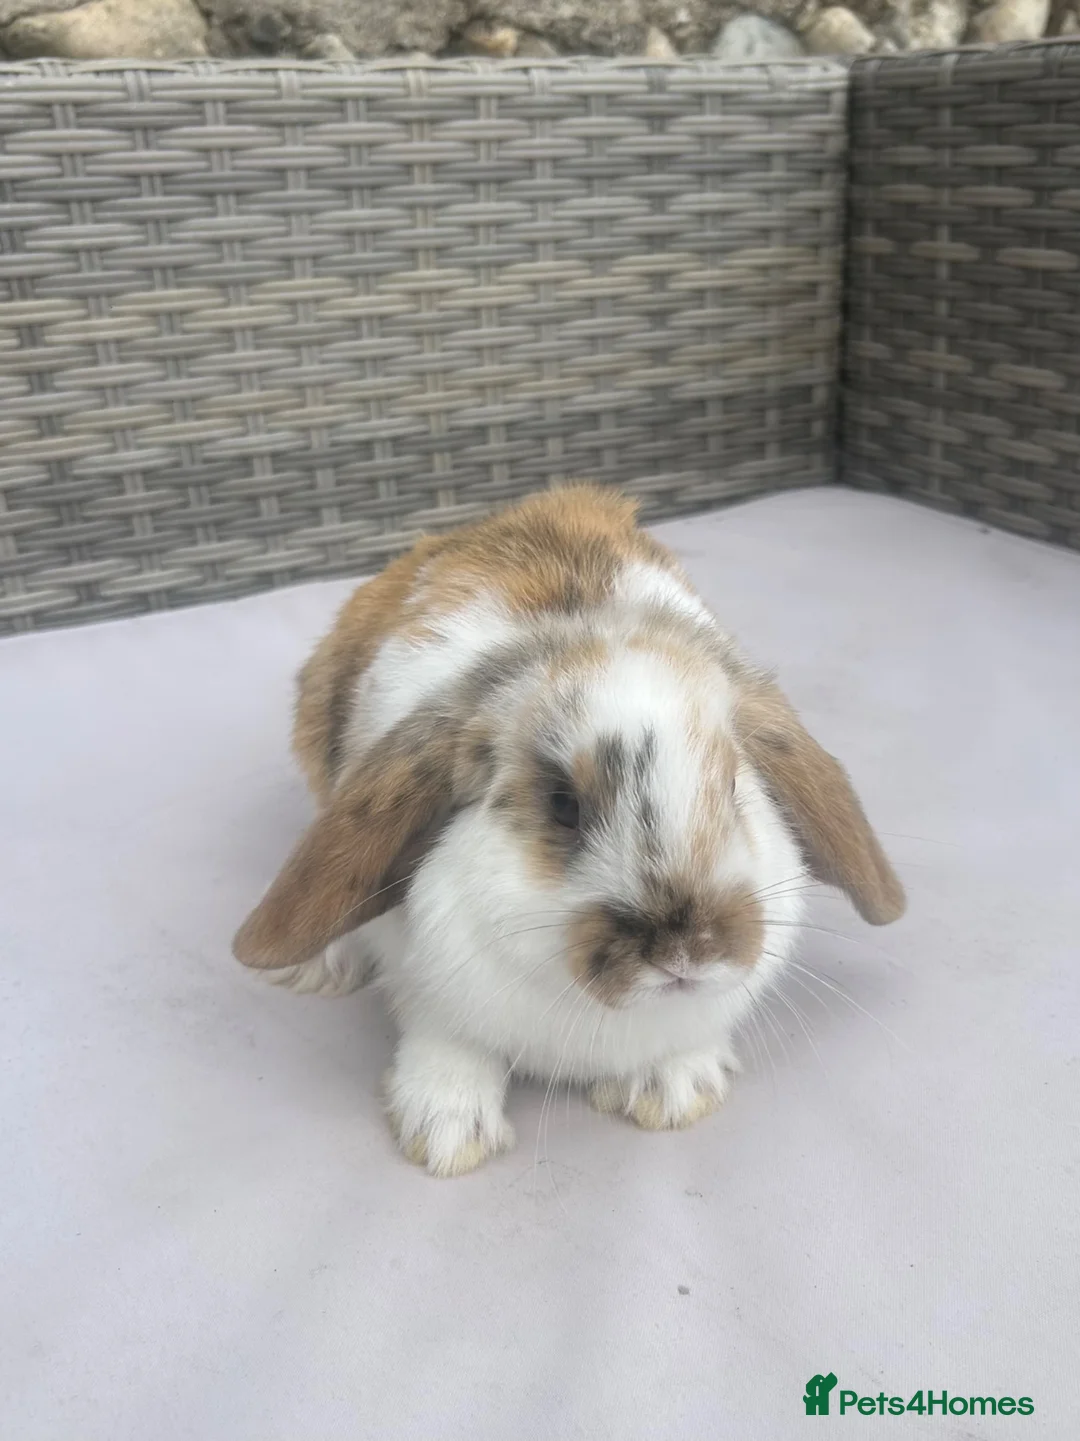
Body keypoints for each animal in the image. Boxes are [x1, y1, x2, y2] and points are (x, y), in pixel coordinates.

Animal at [233, 486, 905, 1177]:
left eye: (732, 784)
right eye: (562, 805)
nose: (685, 955)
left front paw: (674, 1092)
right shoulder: (429, 986)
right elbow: (445, 1042)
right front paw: (448, 1133)